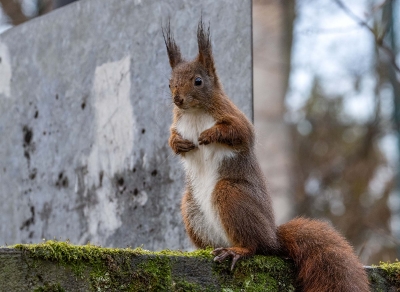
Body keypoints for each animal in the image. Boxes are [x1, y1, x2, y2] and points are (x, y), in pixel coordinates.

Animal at [162, 21, 368, 292]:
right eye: (169, 83)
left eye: (198, 81)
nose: (177, 99)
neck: (195, 113)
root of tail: (273, 236)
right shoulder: (177, 123)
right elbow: (172, 141)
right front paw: (180, 143)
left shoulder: (234, 117)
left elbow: (241, 133)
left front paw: (209, 134)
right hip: (191, 208)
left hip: (231, 195)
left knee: (257, 246)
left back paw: (237, 250)